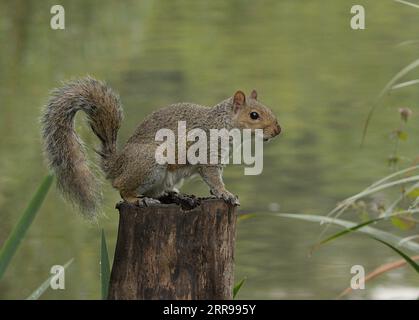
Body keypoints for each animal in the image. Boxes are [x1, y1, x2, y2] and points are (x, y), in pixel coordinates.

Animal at [41, 76, 280, 219]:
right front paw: (226, 194)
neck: (223, 124)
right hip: (149, 163)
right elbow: (213, 178)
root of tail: (116, 166)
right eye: (254, 115)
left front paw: (220, 193)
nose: (277, 130)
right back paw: (140, 199)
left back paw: (176, 196)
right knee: (122, 189)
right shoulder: (207, 154)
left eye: (268, 108)